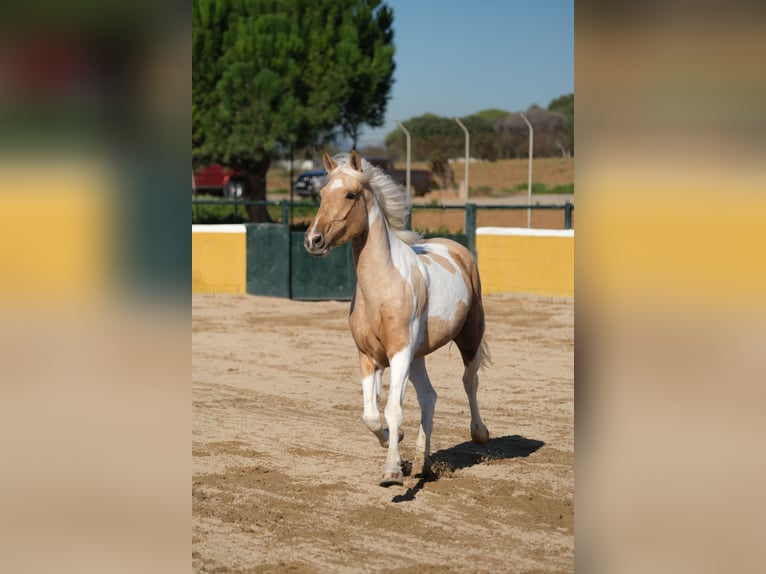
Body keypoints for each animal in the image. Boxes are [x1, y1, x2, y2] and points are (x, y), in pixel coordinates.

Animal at [304, 151, 488, 488]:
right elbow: (371, 415)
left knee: (470, 381)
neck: (382, 287)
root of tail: (458, 250)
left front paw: (391, 472)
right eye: (321, 195)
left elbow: (392, 409)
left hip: (468, 337)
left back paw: (479, 433)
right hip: (417, 358)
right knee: (429, 396)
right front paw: (396, 442)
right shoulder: (369, 357)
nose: (314, 240)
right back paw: (421, 464)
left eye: (351, 195)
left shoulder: (399, 353)